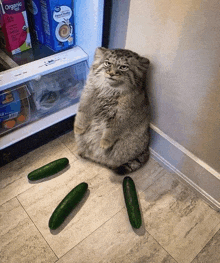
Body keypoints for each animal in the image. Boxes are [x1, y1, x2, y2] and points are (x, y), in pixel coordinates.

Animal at [73, 47, 150, 175]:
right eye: (107, 63)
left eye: (123, 67)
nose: (111, 73)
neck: (109, 91)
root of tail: (146, 149)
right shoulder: (88, 95)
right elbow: (83, 112)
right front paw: (78, 128)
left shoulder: (123, 114)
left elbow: (113, 129)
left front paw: (104, 143)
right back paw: (83, 153)